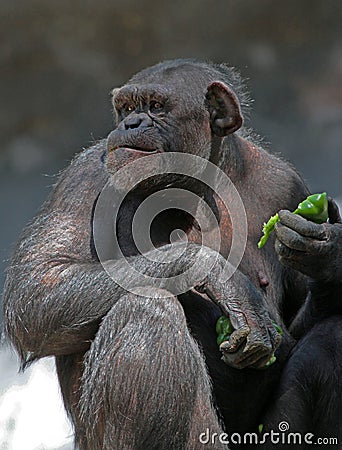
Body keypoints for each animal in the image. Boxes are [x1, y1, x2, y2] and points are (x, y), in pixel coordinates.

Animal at [3, 60, 342, 450]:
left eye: (155, 106)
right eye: (127, 108)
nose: (130, 124)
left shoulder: (286, 185)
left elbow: (297, 324)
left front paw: (327, 253)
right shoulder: (83, 178)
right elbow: (38, 289)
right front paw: (217, 273)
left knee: (329, 339)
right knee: (147, 310)